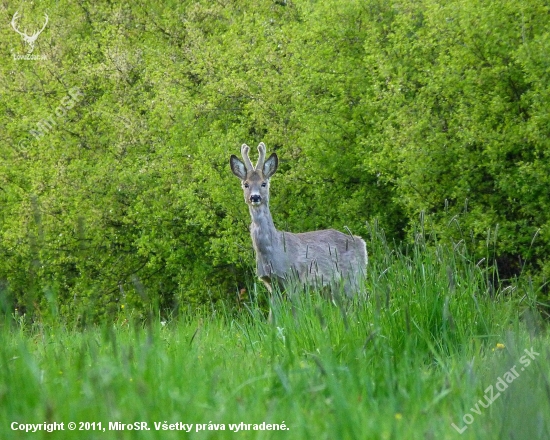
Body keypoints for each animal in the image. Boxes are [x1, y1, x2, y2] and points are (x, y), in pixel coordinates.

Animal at [231, 143, 368, 300]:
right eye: (246, 184)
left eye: (264, 183)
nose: (255, 197)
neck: (273, 249)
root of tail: (361, 242)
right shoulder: (271, 284)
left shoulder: (292, 278)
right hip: (333, 287)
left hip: (354, 275)